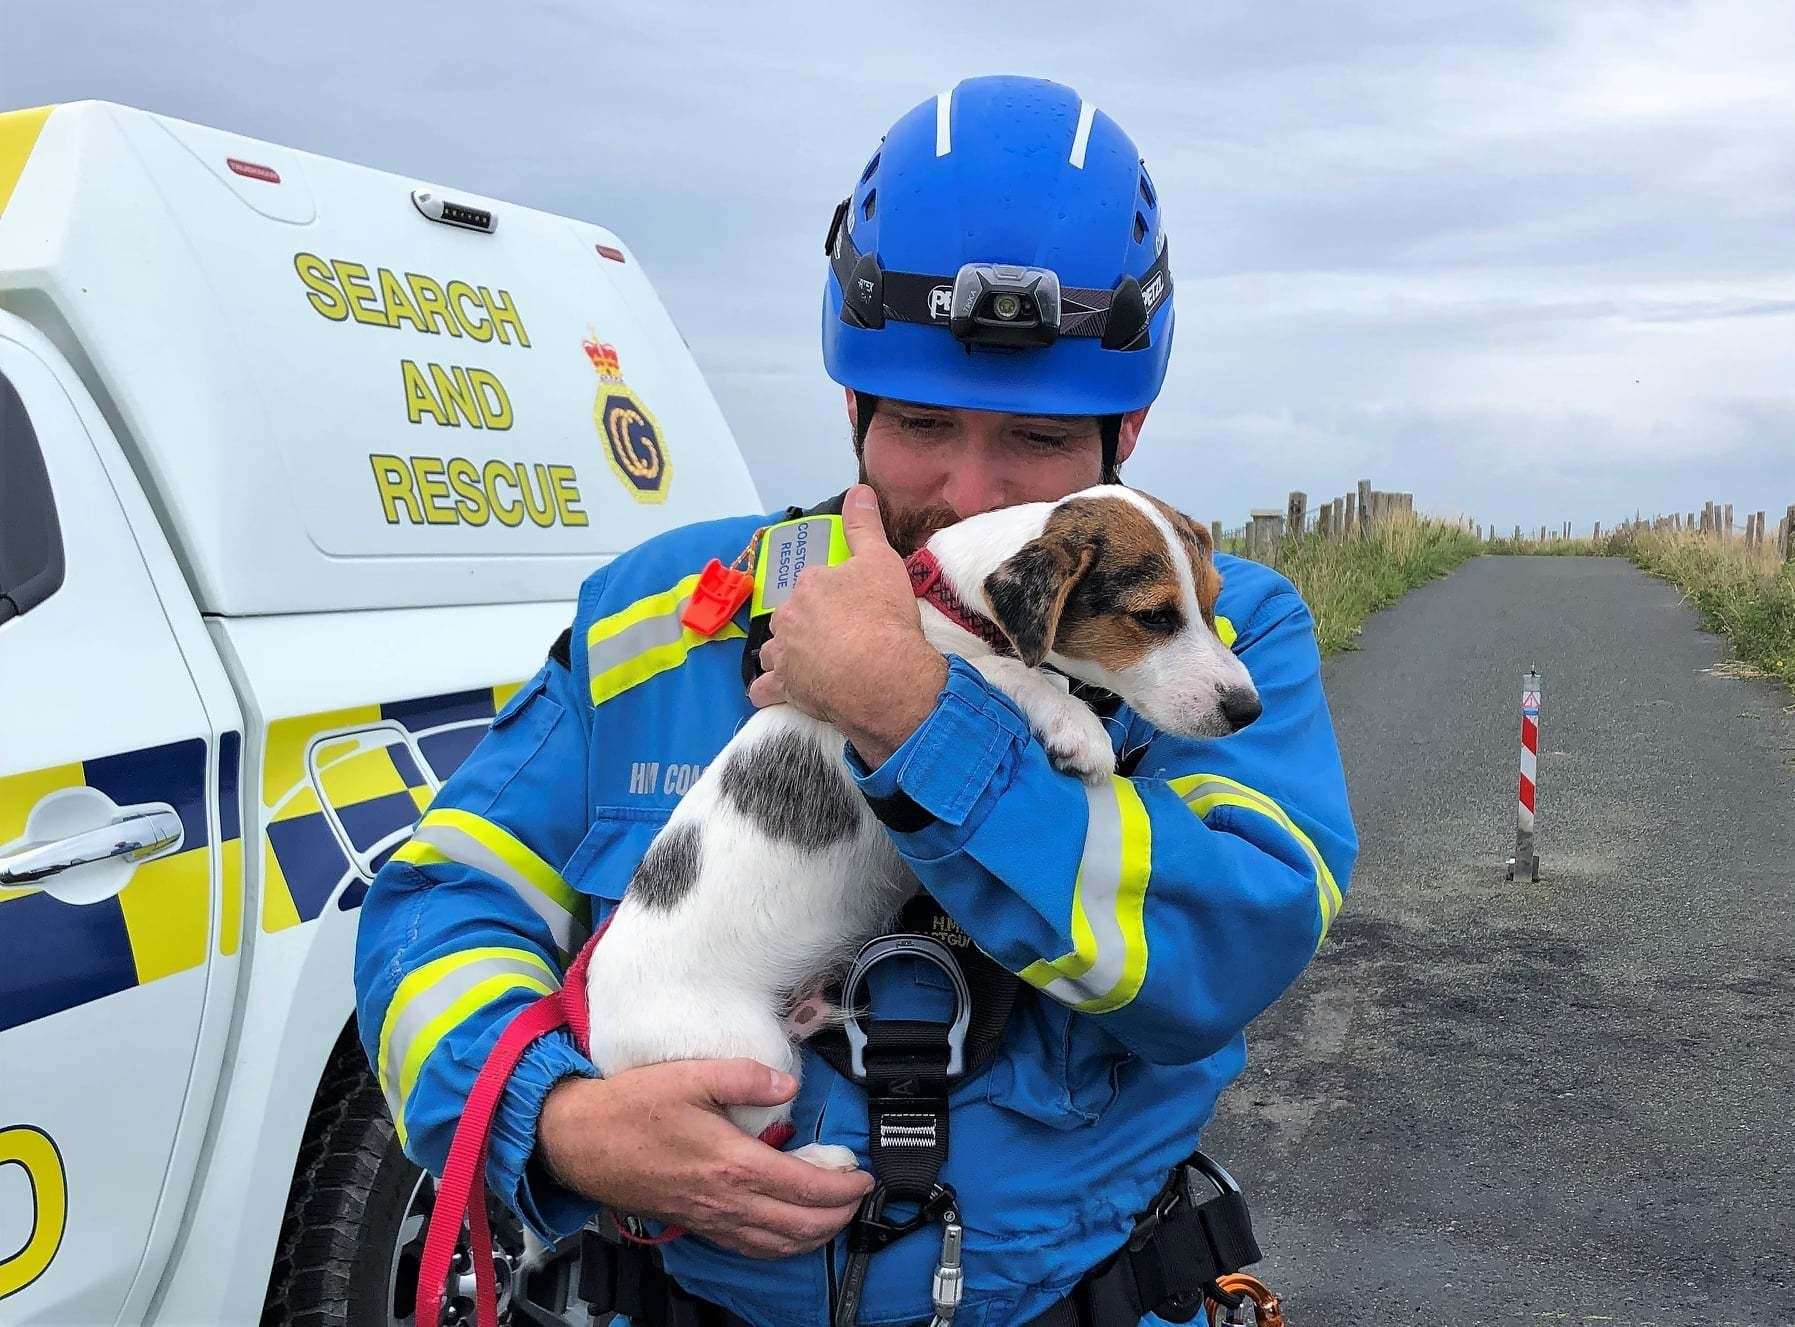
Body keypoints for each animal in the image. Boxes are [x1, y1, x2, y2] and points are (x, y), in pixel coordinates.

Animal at [581, 484, 1256, 1163]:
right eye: (1154, 617)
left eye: (1213, 603)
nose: (1247, 710)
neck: (958, 606)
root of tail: (604, 1049)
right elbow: (997, 674)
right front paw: (1075, 724)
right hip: (748, 1055)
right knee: (748, 1146)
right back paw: (823, 1159)